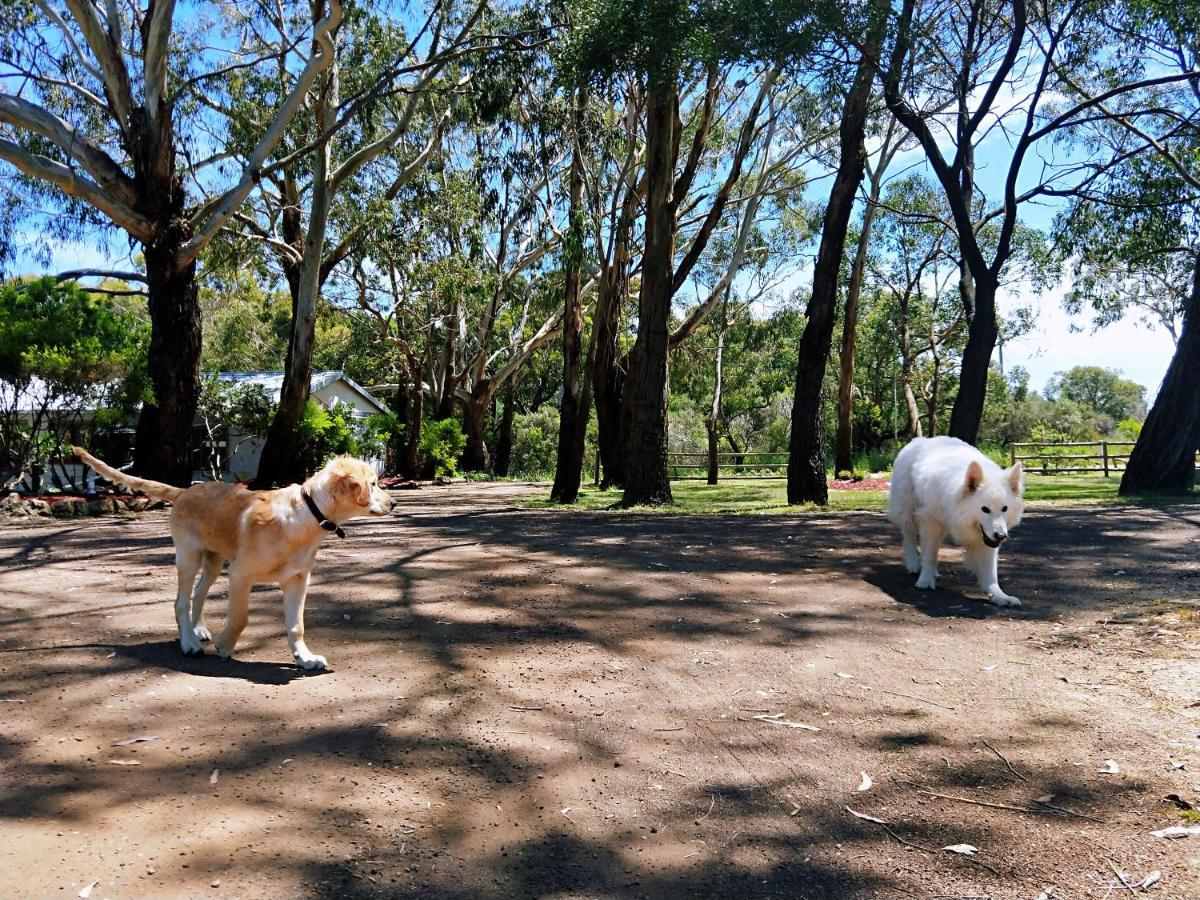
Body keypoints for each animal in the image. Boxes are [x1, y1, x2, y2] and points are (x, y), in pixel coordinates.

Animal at [72, 448, 396, 672]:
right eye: (373, 484)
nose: (394, 503)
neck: (306, 514)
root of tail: (187, 490)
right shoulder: (241, 574)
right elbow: (240, 618)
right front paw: (225, 646)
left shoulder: (297, 580)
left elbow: (297, 625)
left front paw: (305, 658)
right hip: (188, 556)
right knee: (180, 601)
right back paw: (189, 642)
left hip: (214, 561)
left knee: (199, 593)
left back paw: (198, 629)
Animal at [888, 434, 1027, 607]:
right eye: (985, 509)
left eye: (1004, 509)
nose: (1001, 536)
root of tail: (920, 440)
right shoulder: (931, 522)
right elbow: (930, 554)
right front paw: (925, 580)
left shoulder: (985, 540)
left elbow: (990, 572)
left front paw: (999, 596)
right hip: (907, 511)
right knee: (909, 537)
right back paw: (914, 564)